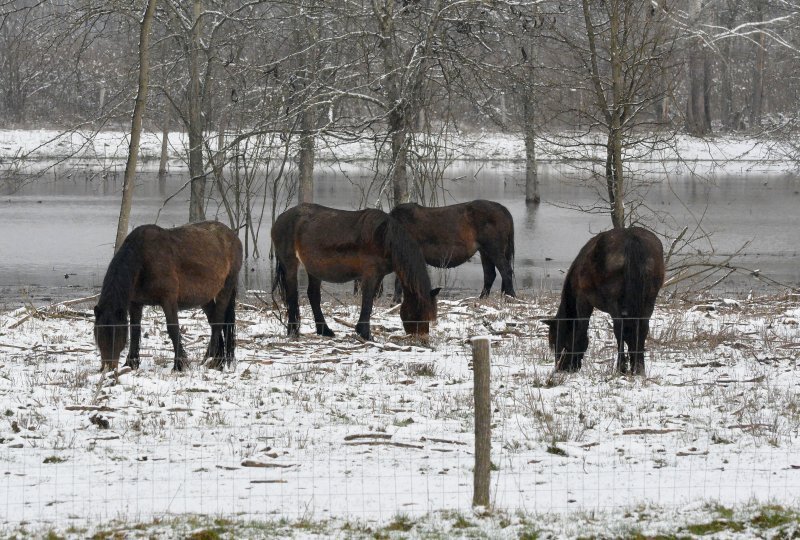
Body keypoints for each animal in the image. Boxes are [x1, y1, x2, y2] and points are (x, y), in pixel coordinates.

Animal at [93, 221, 241, 374]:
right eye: (98, 335)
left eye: (116, 335)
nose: (108, 368)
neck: (143, 259)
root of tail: (232, 236)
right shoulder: (135, 303)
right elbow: (135, 331)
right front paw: (131, 364)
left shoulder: (168, 300)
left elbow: (173, 329)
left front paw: (179, 365)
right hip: (205, 298)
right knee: (214, 322)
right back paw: (218, 362)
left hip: (226, 288)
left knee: (218, 322)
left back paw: (209, 358)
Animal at [274, 205, 438, 340]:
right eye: (421, 312)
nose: (422, 338)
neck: (384, 238)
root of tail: (280, 218)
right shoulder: (370, 275)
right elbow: (368, 301)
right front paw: (365, 333)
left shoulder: (378, 275)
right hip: (290, 265)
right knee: (292, 296)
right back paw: (293, 331)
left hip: (313, 269)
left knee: (313, 295)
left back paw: (325, 330)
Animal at [544, 228, 664, 376]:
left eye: (555, 341)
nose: (560, 368)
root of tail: (631, 238)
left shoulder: (583, 300)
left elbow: (582, 329)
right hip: (649, 300)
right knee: (642, 328)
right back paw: (639, 367)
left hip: (614, 301)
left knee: (619, 329)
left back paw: (620, 367)